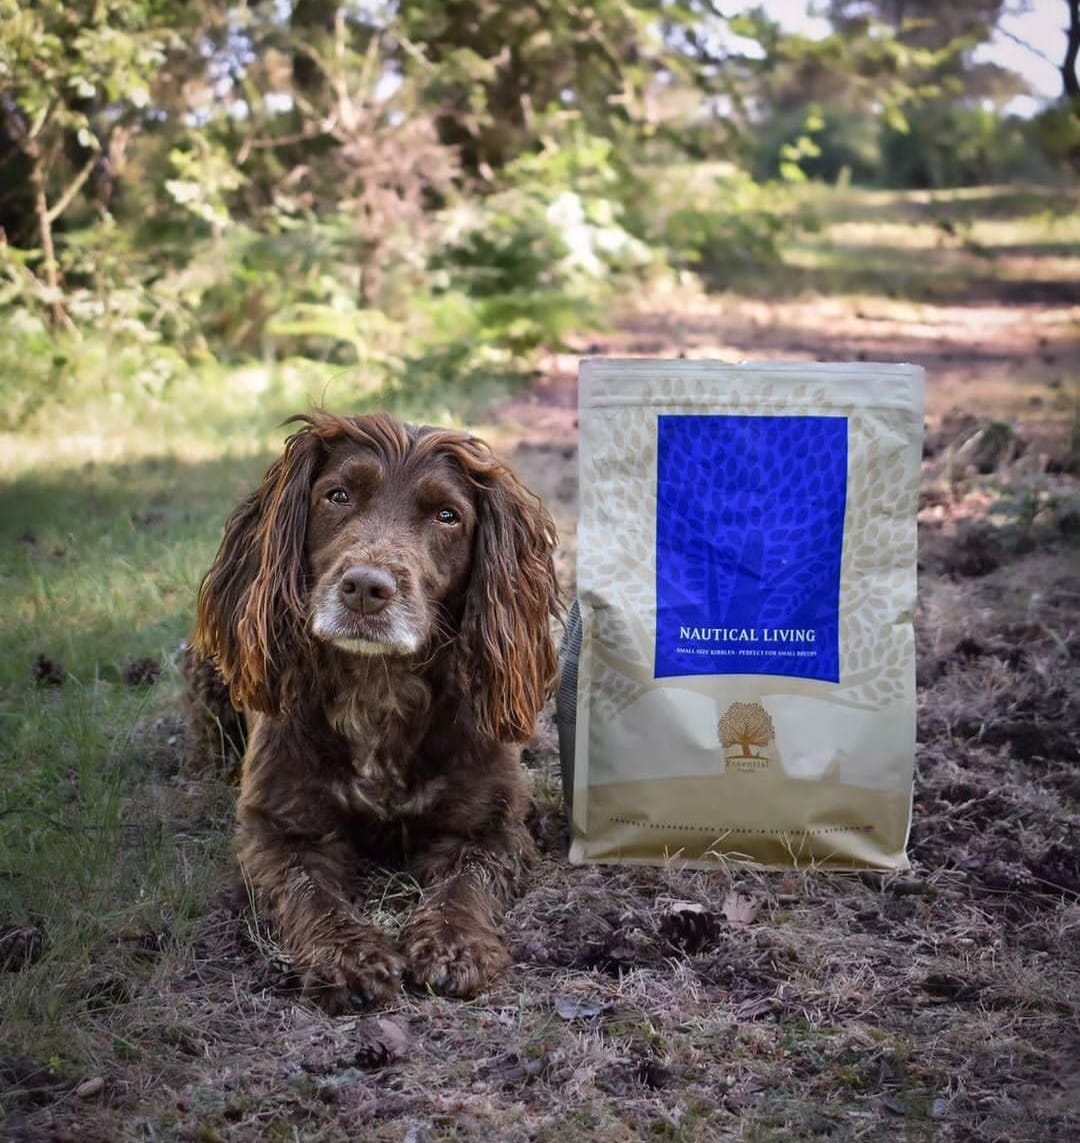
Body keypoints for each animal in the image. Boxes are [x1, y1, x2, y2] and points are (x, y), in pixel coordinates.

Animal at [185, 411, 555, 1010]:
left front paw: (454, 946)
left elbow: (465, 883)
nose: (365, 587)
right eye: (337, 496)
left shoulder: (491, 826)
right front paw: (346, 957)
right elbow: (309, 892)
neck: (378, 685)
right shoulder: (277, 828)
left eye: (448, 516)